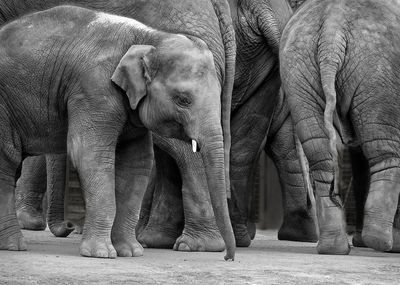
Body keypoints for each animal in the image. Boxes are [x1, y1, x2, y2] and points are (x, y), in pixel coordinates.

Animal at [280, 0, 400, 254]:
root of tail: (331, 32)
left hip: (297, 68)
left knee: (320, 153)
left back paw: (334, 248)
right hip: (377, 69)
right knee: (383, 149)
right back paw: (384, 242)